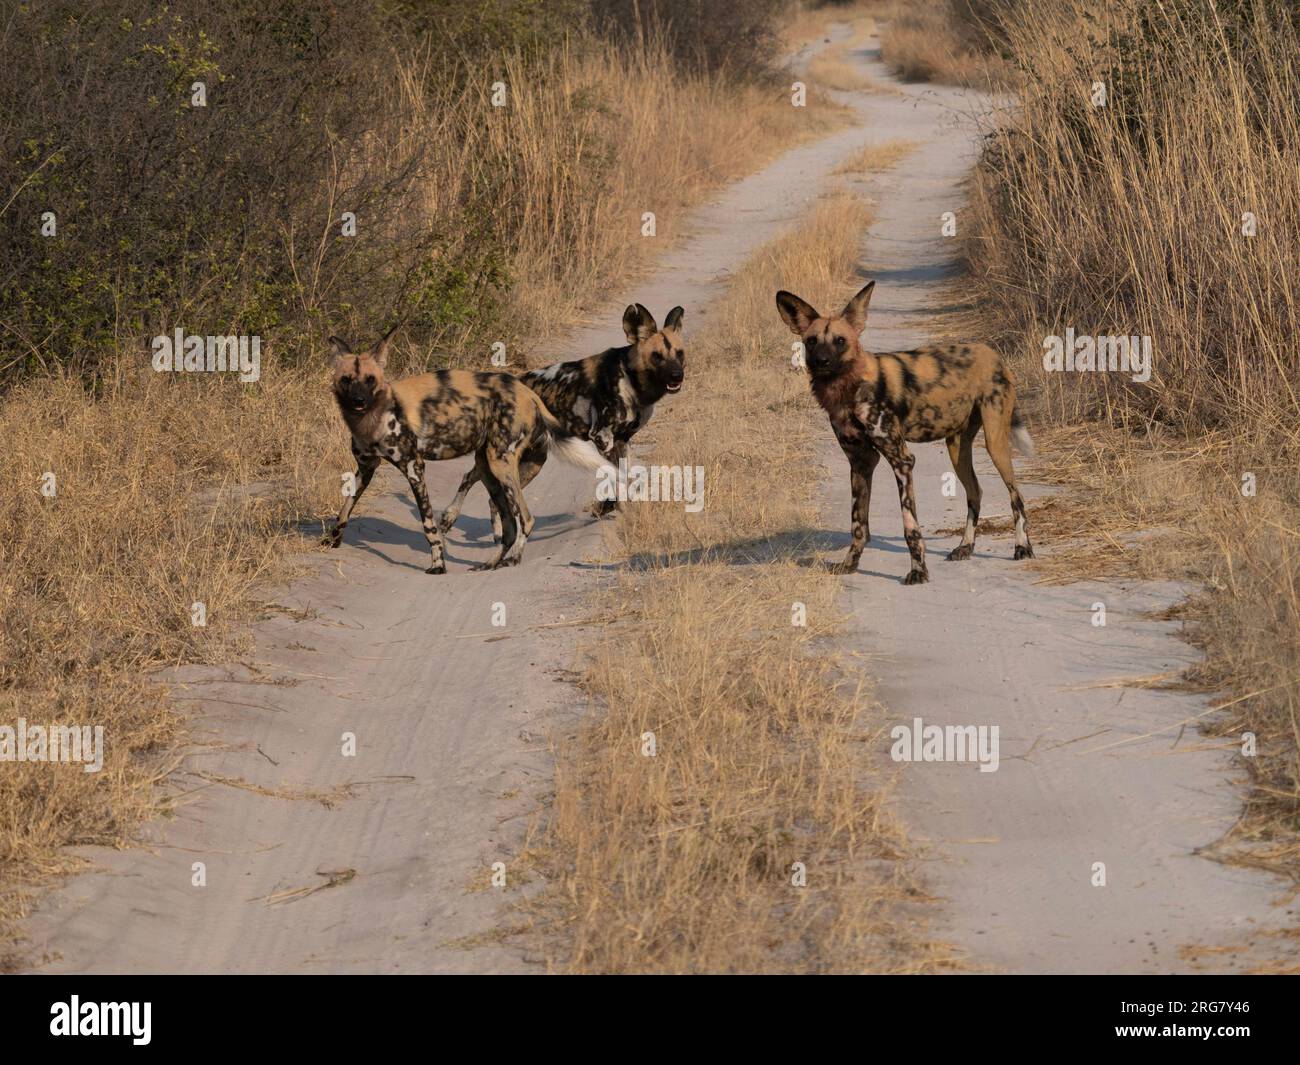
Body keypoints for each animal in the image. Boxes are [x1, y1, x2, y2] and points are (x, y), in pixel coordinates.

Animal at [327, 328, 605, 569]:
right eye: (346, 380)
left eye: (370, 380)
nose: (359, 400)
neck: (375, 416)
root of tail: (528, 393)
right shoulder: (365, 469)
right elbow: (345, 509)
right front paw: (332, 540)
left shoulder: (415, 469)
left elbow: (428, 525)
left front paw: (437, 565)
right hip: (490, 470)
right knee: (509, 527)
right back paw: (490, 564)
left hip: (500, 466)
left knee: (525, 520)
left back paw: (513, 559)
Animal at [436, 301, 686, 538]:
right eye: (657, 356)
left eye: (680, 354)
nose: (677, 376)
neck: (632, 381)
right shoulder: (603, 438)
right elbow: (616, 482)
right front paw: (619, 511)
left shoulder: (623, 441)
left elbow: (623, 479)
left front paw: (608, 508)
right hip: (503, 457)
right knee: (470, 478)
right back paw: (452, 518)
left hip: (531, 461)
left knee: (489, 496)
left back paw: (495, 533)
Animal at [769, 279, 1034, 587]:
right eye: (812, 341)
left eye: (840, 341)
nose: (822, 361)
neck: (849, 387)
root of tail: (992, 353)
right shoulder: (860, 462)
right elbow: (858, 525)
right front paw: (850, 564)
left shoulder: (902, 461)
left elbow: (911, 529)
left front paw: (918, 571)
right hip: (957, 449)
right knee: (975, 492)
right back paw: (965, 547)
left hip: (995, 443)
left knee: (1016, 496)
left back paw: (1022, 547)